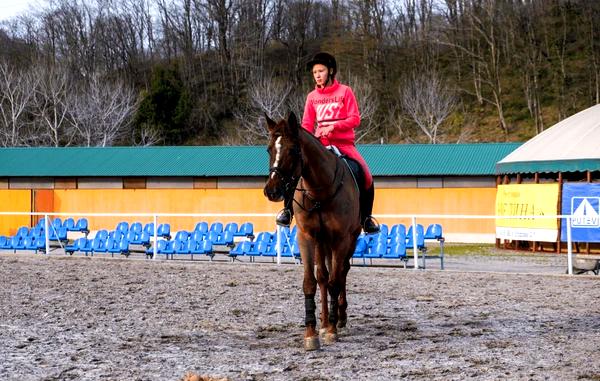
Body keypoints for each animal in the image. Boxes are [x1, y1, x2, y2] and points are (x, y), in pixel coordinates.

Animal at [264, 111, 360, 348]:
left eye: (293, 150)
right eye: (269, 149)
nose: (271, 191)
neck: (319, 193)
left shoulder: (341, 239)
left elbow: (336, 281)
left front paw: (332, 330)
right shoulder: (307, 237)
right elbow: (311, 282)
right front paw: (311, 332)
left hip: (348, 240)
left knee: (341, 273)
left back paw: (339, 318)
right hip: (321, 242)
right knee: (323, 276)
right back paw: (325, 321)